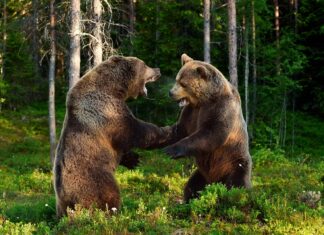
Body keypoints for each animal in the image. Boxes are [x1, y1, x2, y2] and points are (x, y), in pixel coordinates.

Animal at [53, 55, 170, 217]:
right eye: (145, 65)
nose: (158, 70)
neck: (114, 88)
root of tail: (68, 199)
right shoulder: (106, 111)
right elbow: (135, 131)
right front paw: (166, 131)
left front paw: (133, 159)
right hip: (96, 179)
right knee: (110, 194)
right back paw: (115, 213)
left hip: (62, 204)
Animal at [163, 54, 252, 203]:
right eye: (177, 79)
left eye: (183, 84)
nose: (170, 92)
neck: (204, 99)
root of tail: (215, 181)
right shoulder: (192, 112)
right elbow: (180, 129)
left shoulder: (222, 108)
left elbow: (211, 134)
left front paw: (171, 150)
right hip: (203, 173)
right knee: (193, 185)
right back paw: (187, 201)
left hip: (234, 163)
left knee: (238, 185)